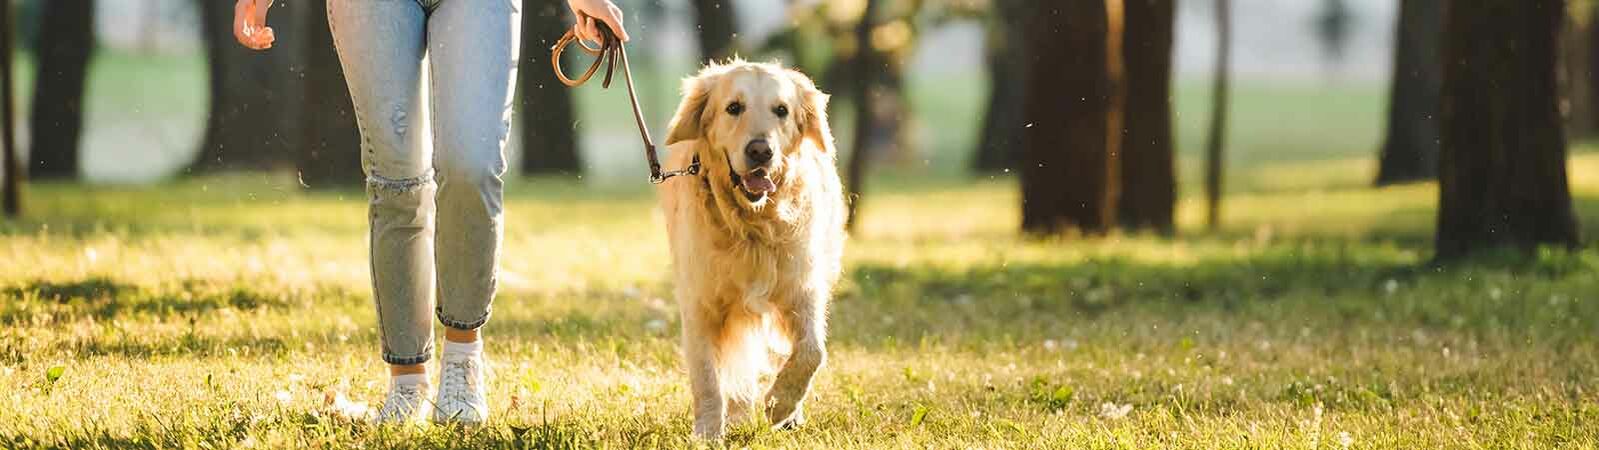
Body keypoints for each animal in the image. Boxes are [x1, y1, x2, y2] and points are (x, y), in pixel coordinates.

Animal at [655, 60, 850, 438]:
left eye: (781, 110)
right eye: (734, 108)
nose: (760, 151)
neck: (752, 226)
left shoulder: (802, 289)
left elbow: (812, 351)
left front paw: (780, 404)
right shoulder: (699, 304)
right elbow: (706, 378)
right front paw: (707, 433)